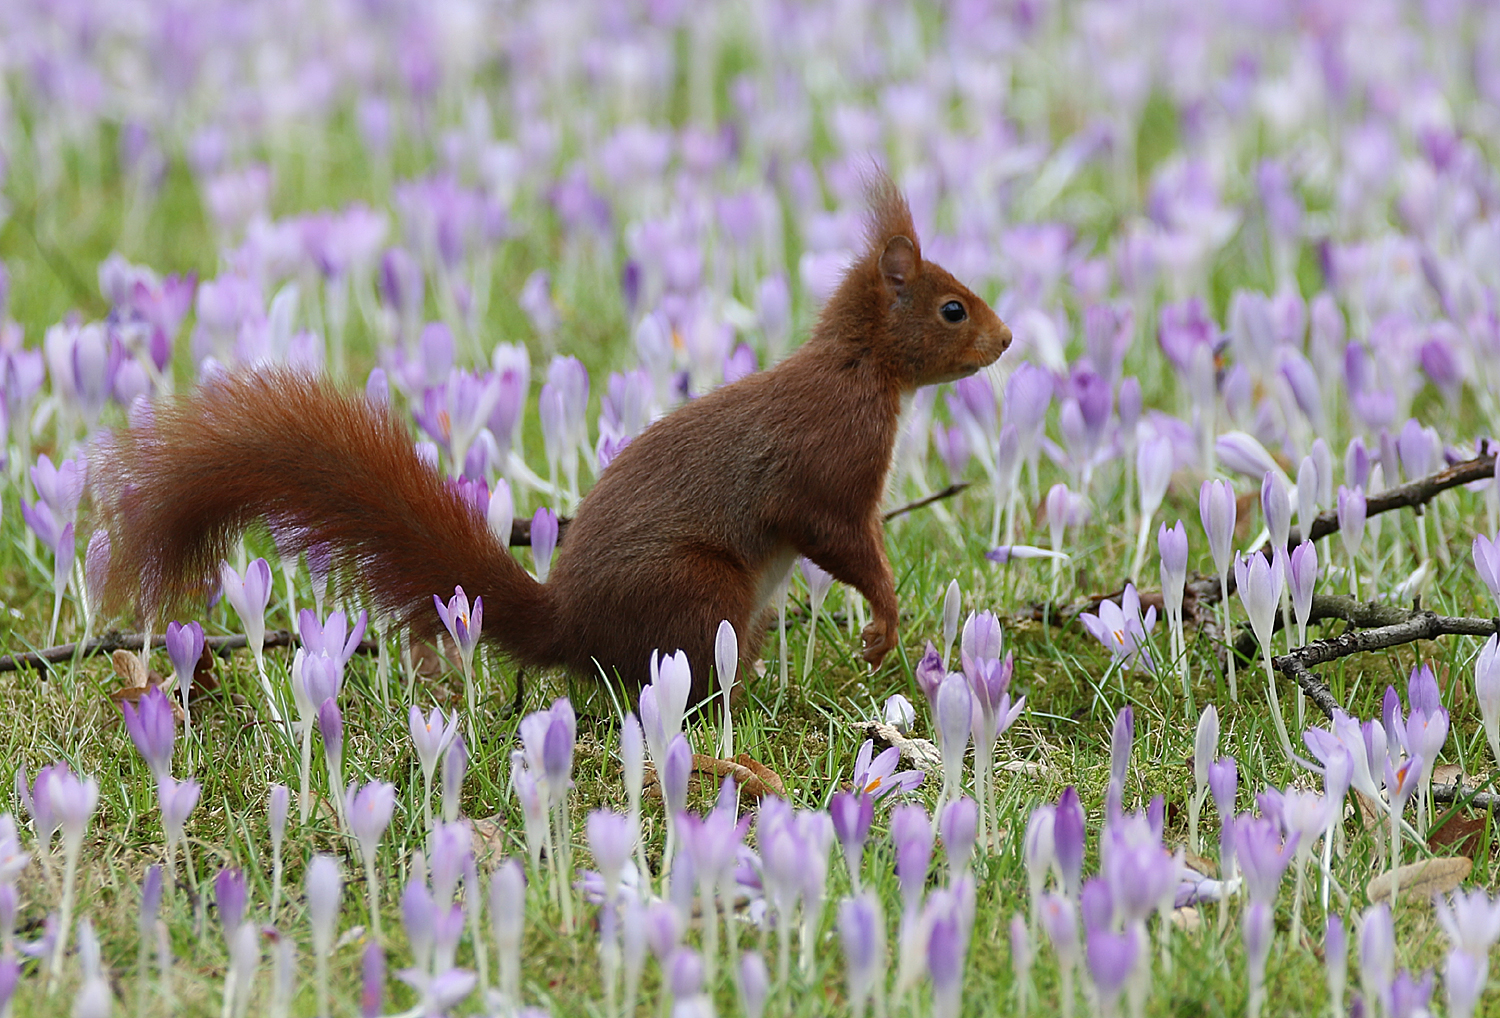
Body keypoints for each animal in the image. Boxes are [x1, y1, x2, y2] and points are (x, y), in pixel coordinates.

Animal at [90, 176, 1008, 701]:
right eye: (951, 308)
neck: (860, 371)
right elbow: (841, 539)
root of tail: (572, 627)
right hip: (700, 591)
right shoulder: (824, 464)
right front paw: (884, 622)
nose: (1005, 342)